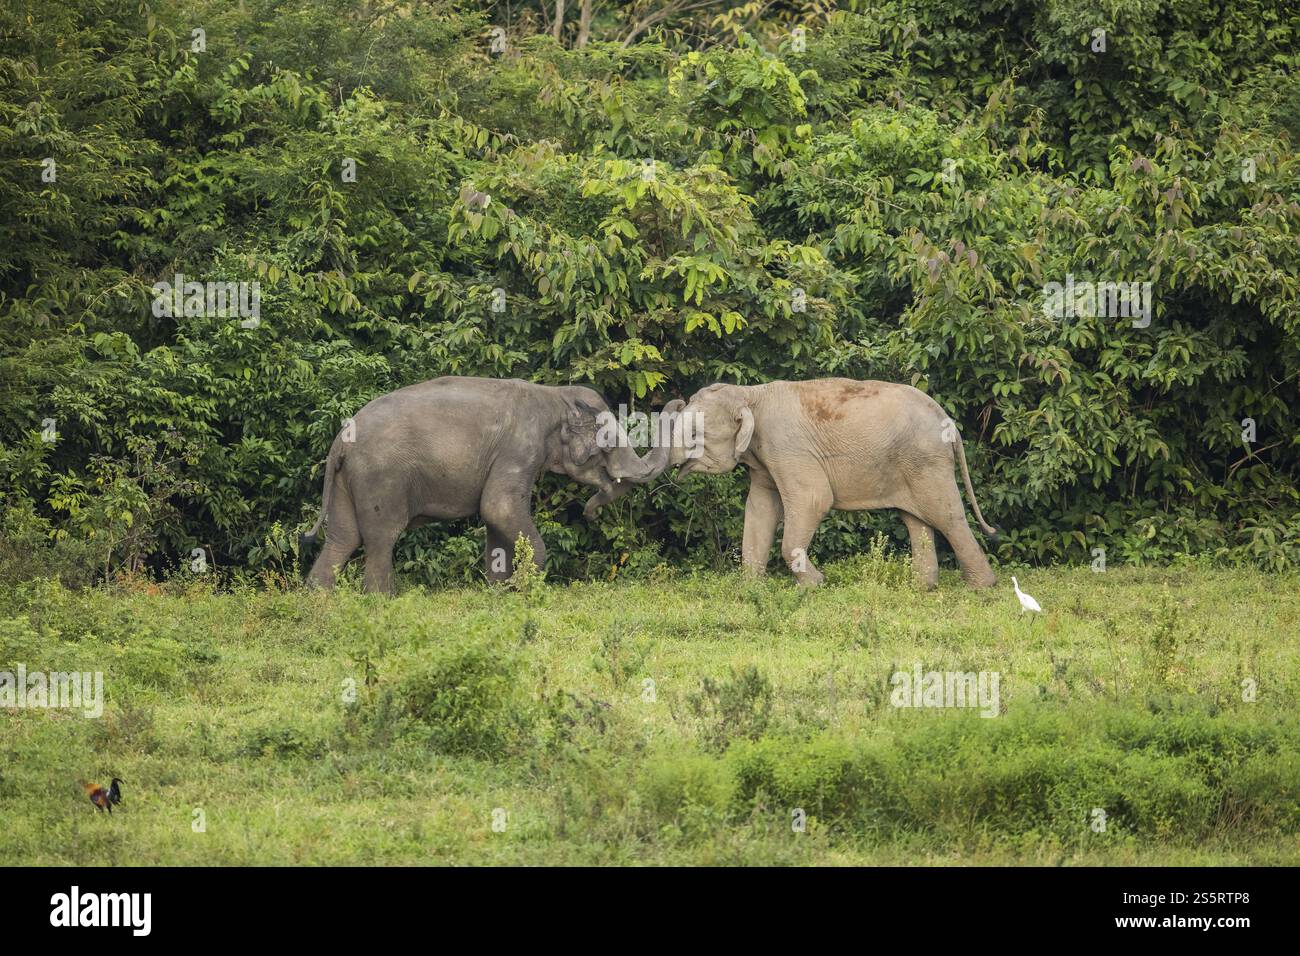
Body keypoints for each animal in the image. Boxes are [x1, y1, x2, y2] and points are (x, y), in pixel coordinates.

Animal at [301, 377, 681, 595]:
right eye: (607, 445)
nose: (590, 512)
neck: (555, 396)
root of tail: (339, 443)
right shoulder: (520, 447)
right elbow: (498, 507)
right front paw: (523, 589)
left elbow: (495, 520)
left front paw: (498, 593)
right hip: (380, 478)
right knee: (381, 538)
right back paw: (380, 601)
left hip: (347, 481)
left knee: (343, 539)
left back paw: (319, 601)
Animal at [665, 377, 998, 587]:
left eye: (695, 433)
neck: (751, 394)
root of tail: (949, 423)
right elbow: (760, 508)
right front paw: (749, 588)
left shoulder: (786, 445)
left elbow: (813, 499)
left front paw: (816, 584)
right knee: (917, 520)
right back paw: (922, 587)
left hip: (926, 461)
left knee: (947, 516)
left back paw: (982, 588)